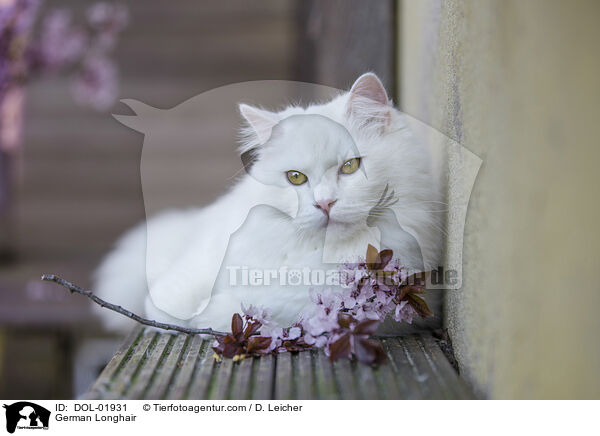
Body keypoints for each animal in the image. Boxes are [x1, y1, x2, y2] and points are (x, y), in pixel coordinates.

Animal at [92, 74, 440, 334]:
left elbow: (263, 309)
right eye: (296, 178)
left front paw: (210, 314)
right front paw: (186, 310)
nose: (324, 203)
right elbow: (173, 298)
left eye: (350, 167)